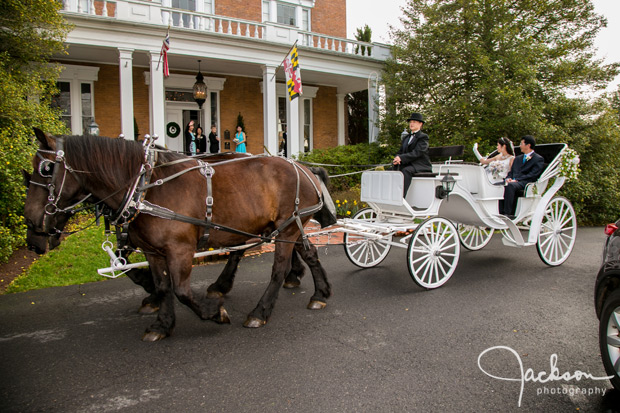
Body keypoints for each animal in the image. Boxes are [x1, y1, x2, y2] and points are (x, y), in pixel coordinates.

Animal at [23, 130, 334, 342]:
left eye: (46, 169)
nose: (33, 231)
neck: (145, 187)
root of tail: (303, 167)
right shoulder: (152, 250)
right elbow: (162, 286)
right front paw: (161, 322)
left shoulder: (179, 249)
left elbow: (182, 290)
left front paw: (215, 313)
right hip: (287, 226)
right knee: (307, 252)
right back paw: (319, 292)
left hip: (287, 226)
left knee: (276, 268)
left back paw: (259, 311)